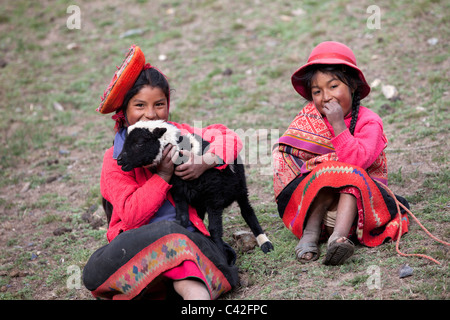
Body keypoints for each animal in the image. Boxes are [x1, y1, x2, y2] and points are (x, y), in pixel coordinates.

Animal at [118, 119, 272, 252]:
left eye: (139, 143)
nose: (119, 160)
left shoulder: (214, 197)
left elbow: (214, 228)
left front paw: (220, 250)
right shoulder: (179, 193)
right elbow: (183, 219)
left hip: (240, 189)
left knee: (247, 211)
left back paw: (265, 243)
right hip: (200, 201)